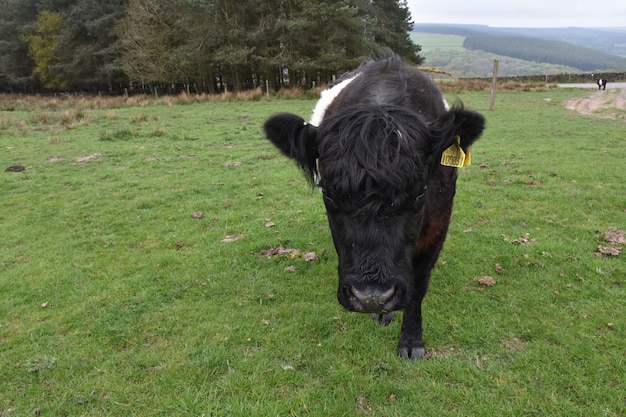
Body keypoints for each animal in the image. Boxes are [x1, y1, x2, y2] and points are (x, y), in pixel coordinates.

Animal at [260, 50, 486, 358]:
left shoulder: (440, 217)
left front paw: (412, 340)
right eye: (328, 195)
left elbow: (419, 283)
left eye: (420, 194)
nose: (371, 298)